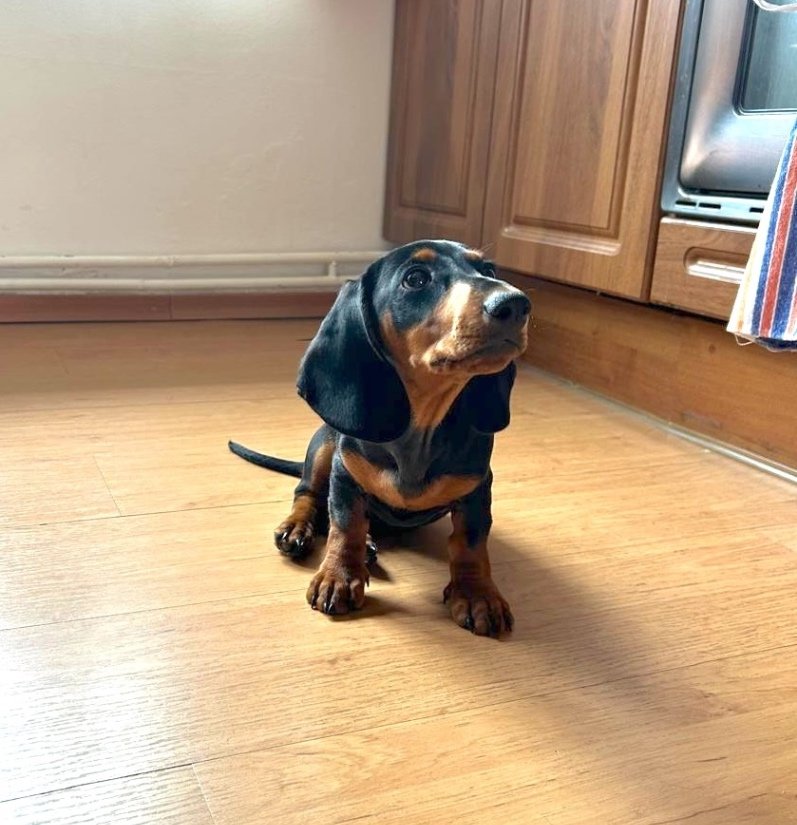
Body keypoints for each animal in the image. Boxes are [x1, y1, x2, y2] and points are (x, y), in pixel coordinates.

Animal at [229, 240, 530, 636]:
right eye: (415, 279)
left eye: (489, 270)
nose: (516, 303)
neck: (421, 425)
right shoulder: (344, 474)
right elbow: (346, 525)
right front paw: (339, 576)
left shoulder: (477, 488)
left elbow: (470, 541)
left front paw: (477, 593)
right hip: (325, 444)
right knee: (308, 493)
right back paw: (299, 528)